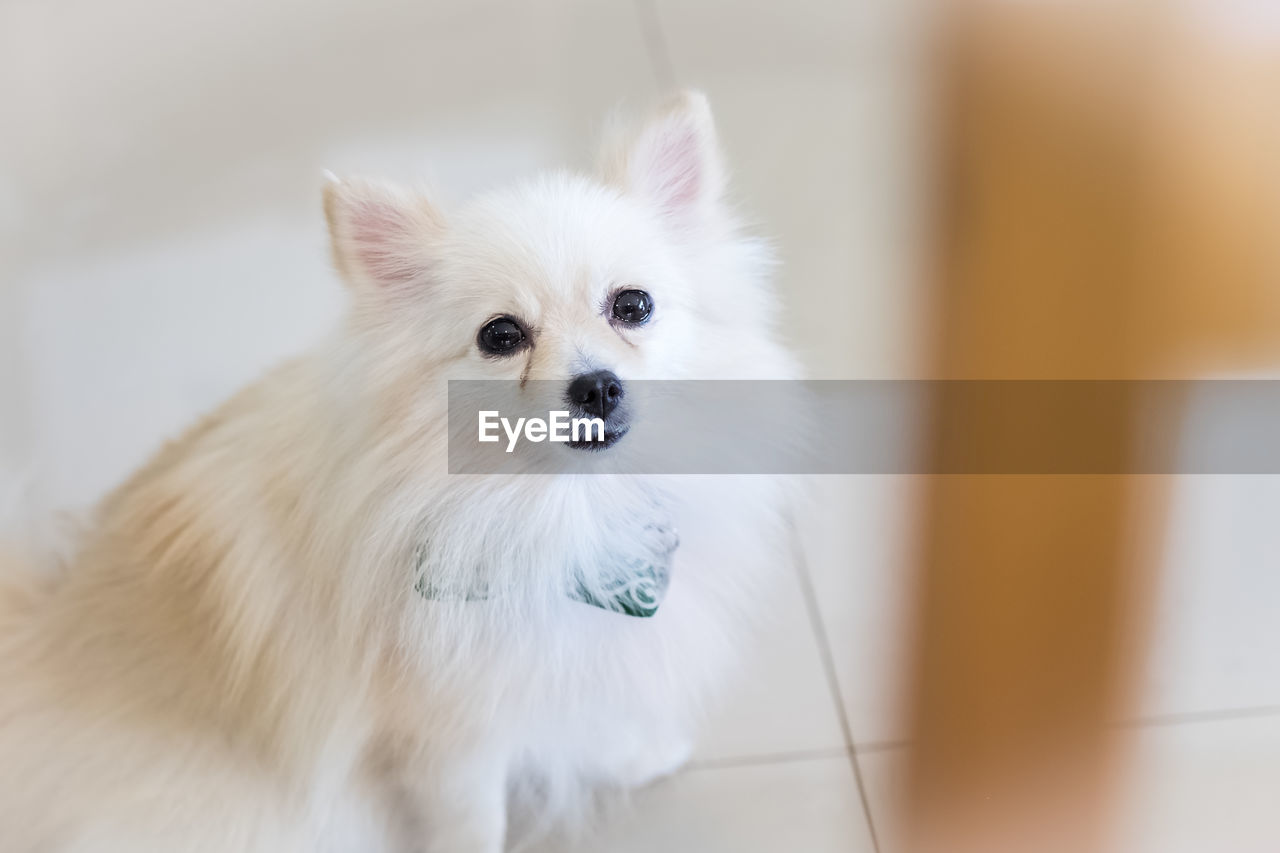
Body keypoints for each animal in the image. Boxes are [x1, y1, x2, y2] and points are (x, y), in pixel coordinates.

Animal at [0, 92, 798, 850]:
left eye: (633, 306)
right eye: (501, 336)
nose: (596, 386)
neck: (557, 512)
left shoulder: (570, 652)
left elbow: (587, 717)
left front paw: (641, 756)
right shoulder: (448, 738)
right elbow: (476, 823)